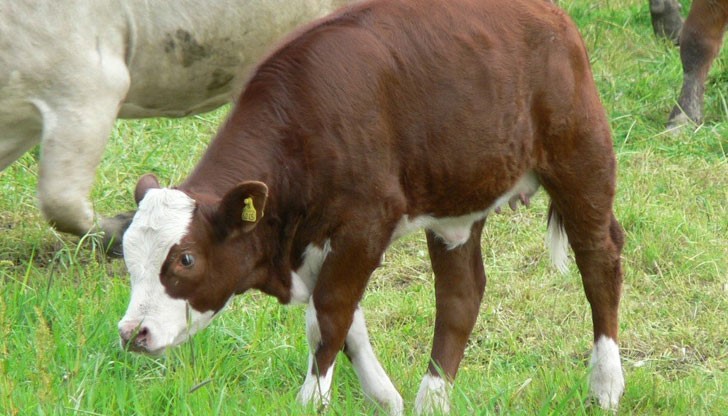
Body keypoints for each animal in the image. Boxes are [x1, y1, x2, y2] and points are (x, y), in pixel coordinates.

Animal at [118, 0, 624, 412]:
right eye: (127, 257)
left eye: (186, 259)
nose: (131, 333)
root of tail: (552, 16)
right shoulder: (321, 241)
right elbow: (343, 321)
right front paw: (384, 396)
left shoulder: (364, 224)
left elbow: (329, 315)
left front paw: (311, 400)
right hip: (458, 198)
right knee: (461, 294)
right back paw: (431, 399)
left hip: (581, 156)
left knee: (600, 261)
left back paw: (605, 385)